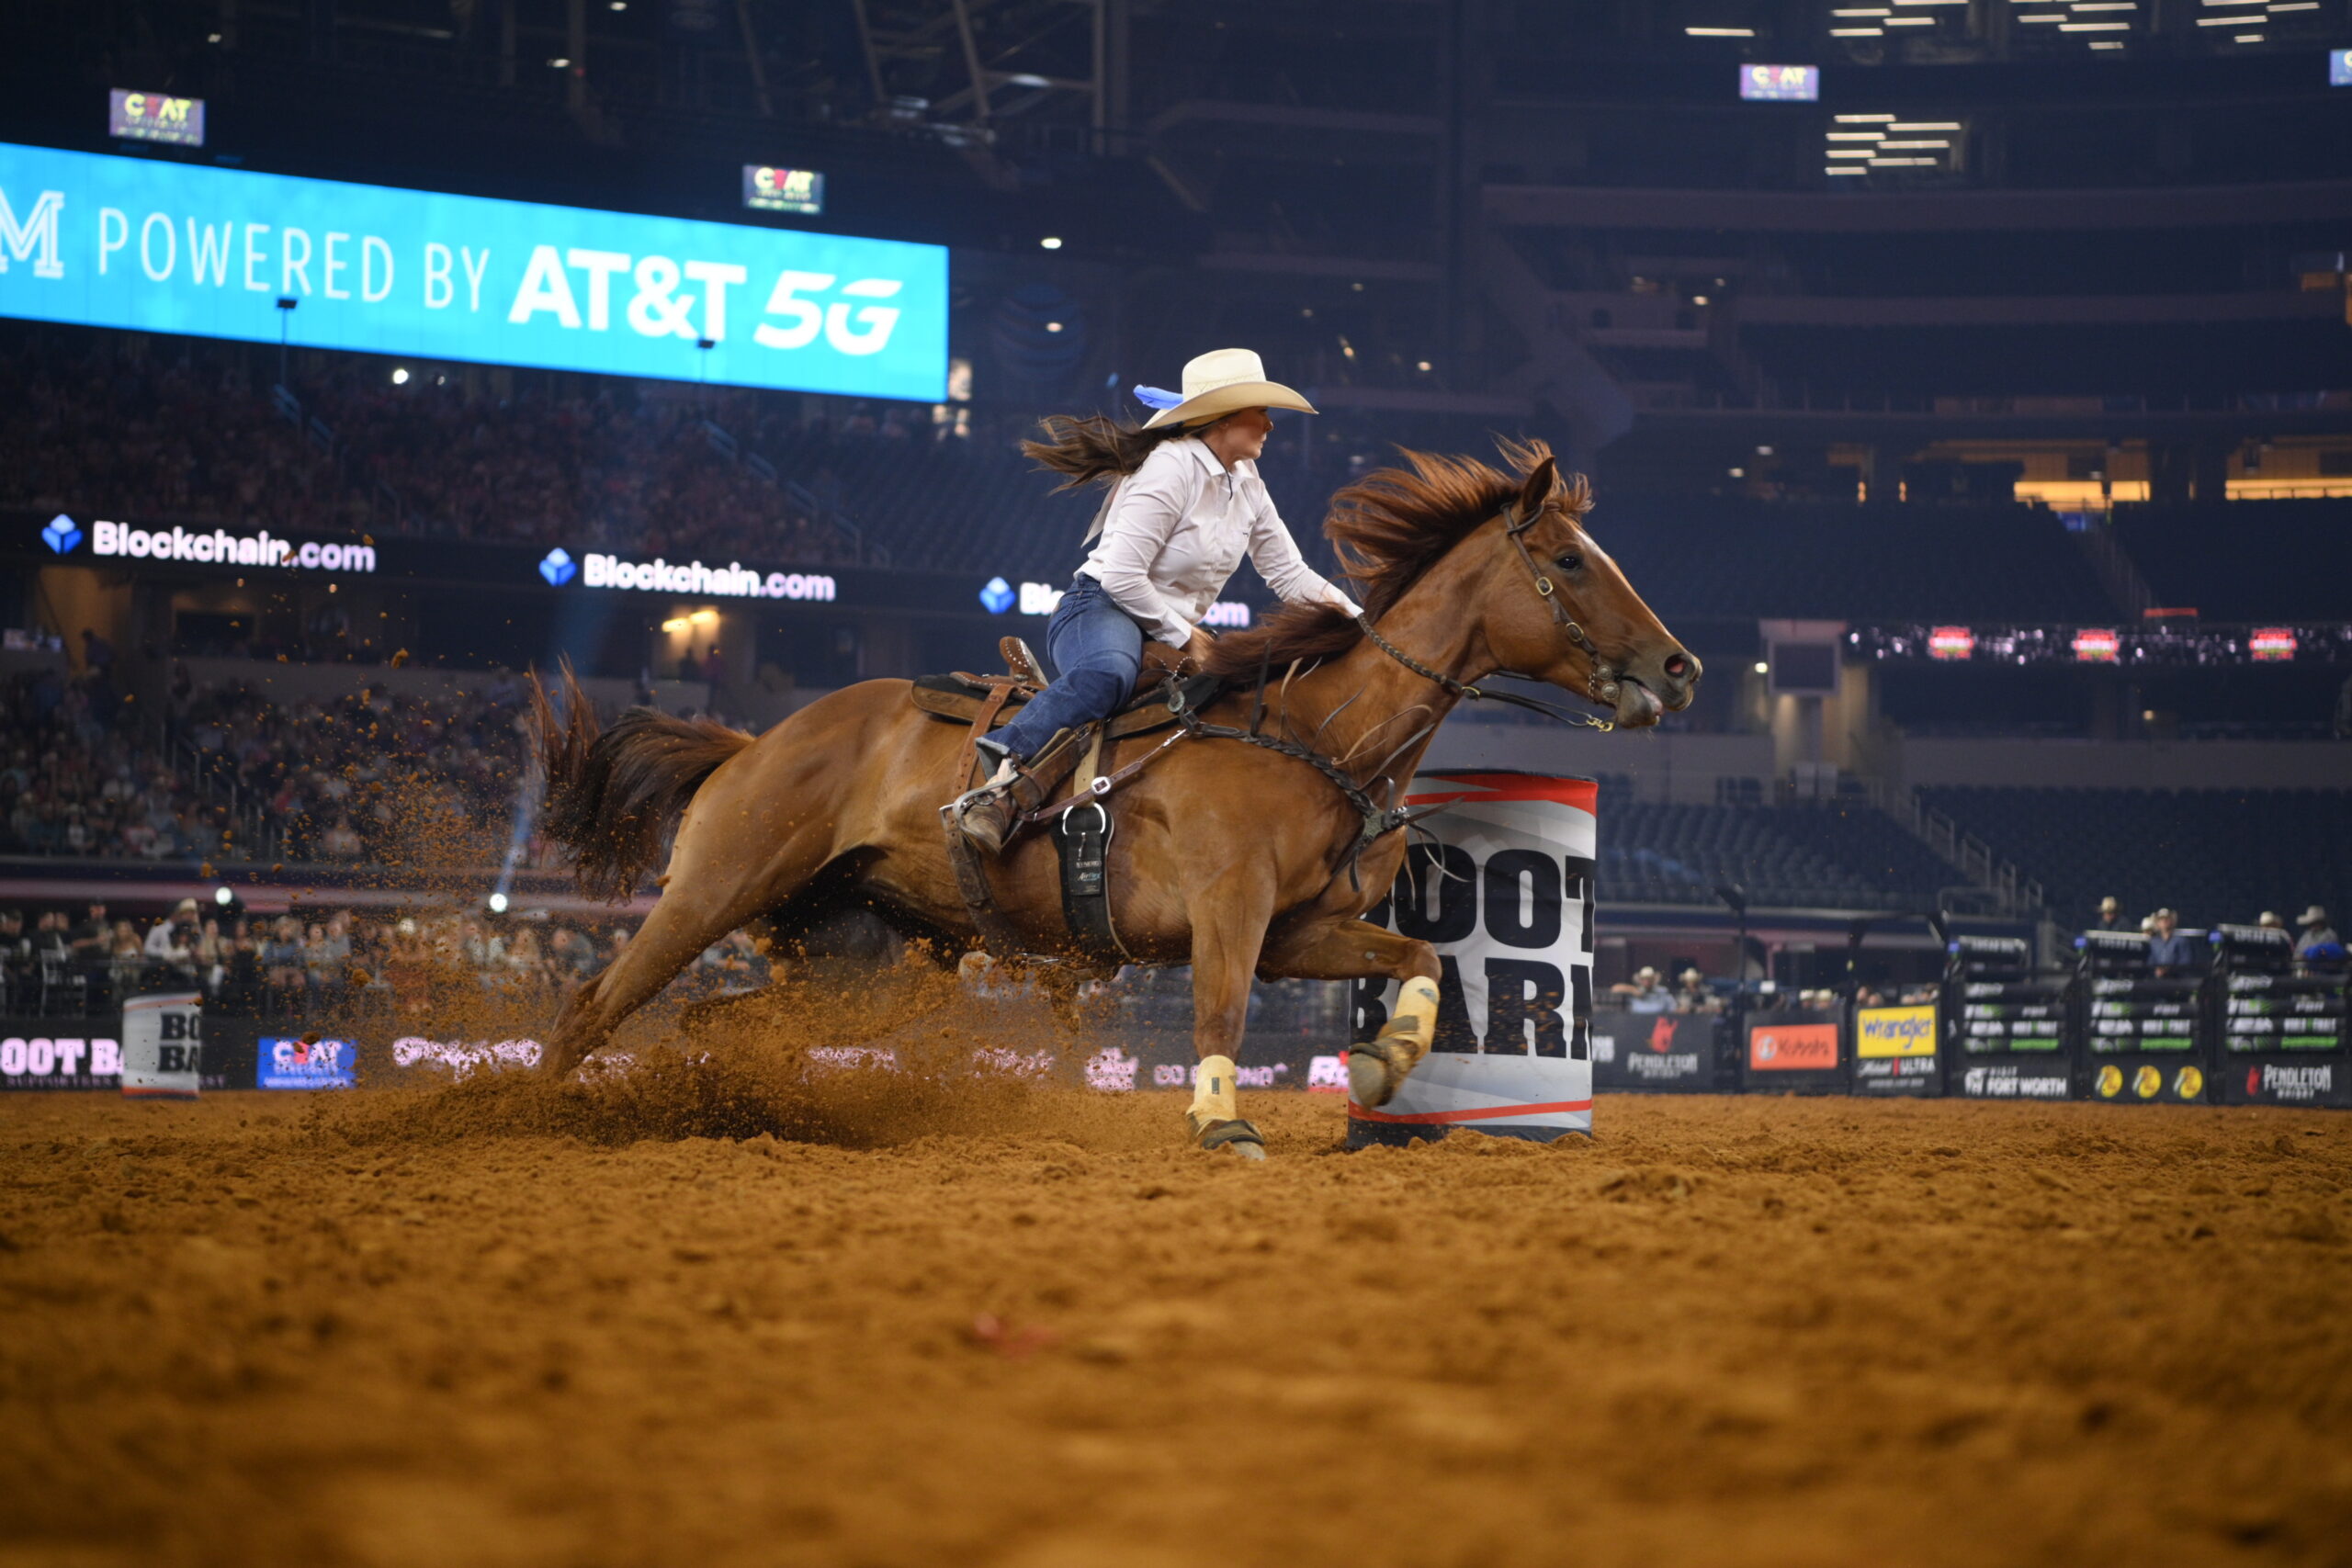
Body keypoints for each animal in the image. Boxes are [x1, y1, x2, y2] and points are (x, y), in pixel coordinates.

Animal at [529, 442, 1712, 1152]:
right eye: (1568, 558)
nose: (1679, 667)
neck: (1315, 736)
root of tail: (754, 740)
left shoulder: (1299, 931)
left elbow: (1416, 957)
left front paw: (1384, 1066)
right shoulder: (1228, 915)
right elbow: (1217, 1013)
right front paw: (1223, 1124)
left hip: (860, 961)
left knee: (711, 1017)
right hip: (711, 891)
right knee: (594, 1005)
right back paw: (521, 1112)